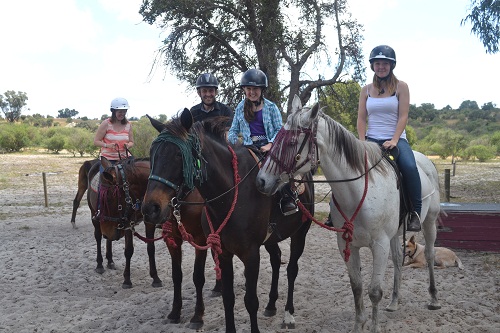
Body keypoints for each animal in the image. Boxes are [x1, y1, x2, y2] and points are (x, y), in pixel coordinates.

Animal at [141, 110, 314, 330]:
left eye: (179, 155)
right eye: (152, 153)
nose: (150, 208)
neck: (231, 194)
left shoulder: (250, 253)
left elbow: (250, 301)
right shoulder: (222, 252)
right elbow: (228, 297)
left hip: (300, 233)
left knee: (292, 270)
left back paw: (288, 314)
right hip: (271, 239)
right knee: (276, 260)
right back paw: (271, 305)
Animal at [258, 95, 442, 332]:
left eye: (291, 143)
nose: (261, 180)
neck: (357, 192)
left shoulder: (379, 245)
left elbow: (374, 292)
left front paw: (374, 327)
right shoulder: (347, 244)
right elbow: (357, 287)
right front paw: (358, 324)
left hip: (429, 222)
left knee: (429, 255)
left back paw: (434, 299)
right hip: (396, 231)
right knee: (398, 258)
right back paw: (393, 302)